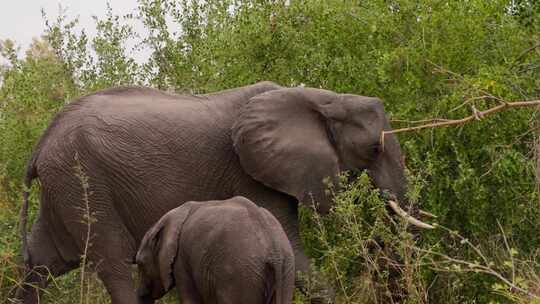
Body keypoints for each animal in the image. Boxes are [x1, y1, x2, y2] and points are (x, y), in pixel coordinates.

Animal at [135, 196, 296, 302]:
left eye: (141, 263)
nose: (142, 293)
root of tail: (274, 249)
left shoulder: (181, 260)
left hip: (239, 273)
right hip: (285, 270)